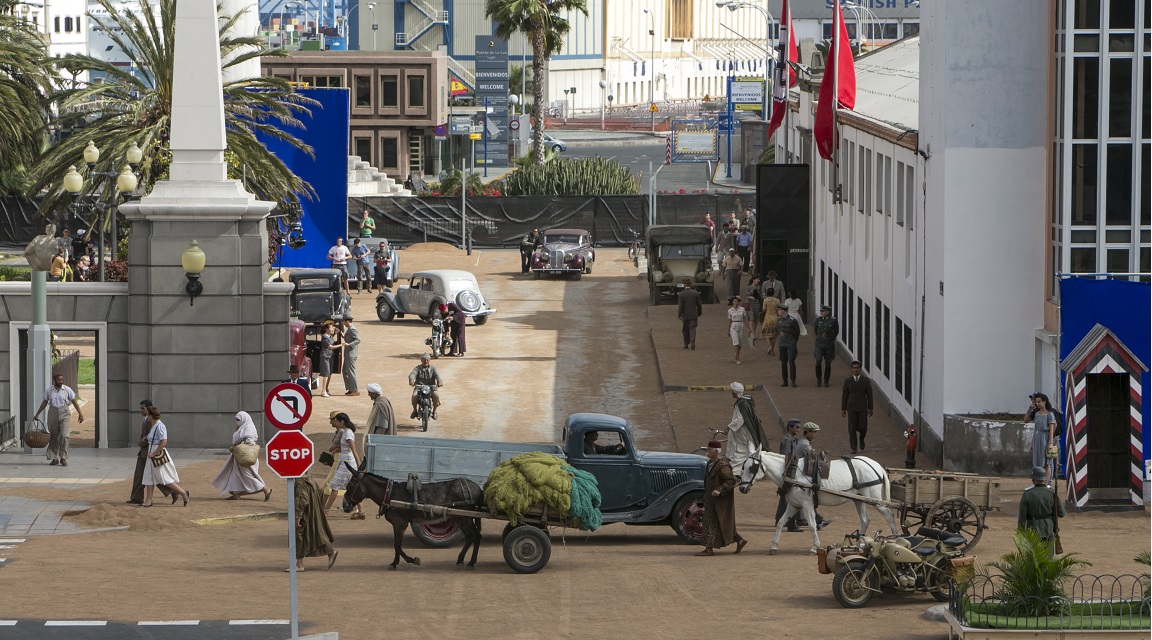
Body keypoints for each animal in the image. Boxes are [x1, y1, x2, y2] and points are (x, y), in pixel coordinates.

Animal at [737, 448, 898, 554]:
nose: (742, 488)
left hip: (874, 498)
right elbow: (781, 523)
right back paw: (860, 544)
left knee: (889, 515)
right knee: (865, 520)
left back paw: (896, 538)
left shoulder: (807, 504)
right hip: (858, 499)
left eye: (751, 468)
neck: (792, 472)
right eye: (743, 466)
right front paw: (774, 546)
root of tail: (876, 465)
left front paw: (815, 547)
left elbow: (812, 525)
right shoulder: (794, 505)